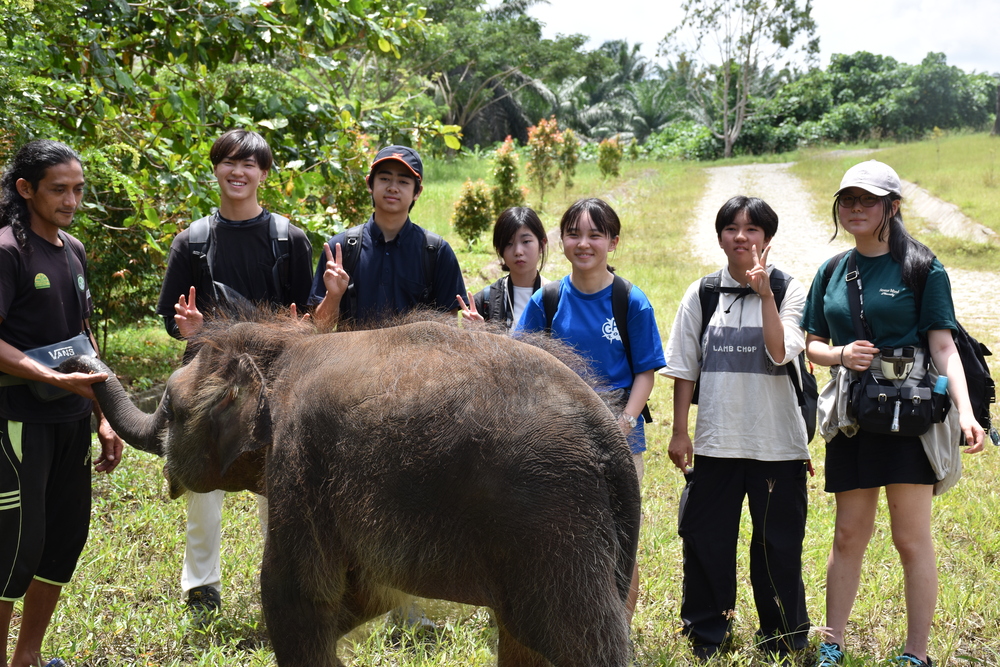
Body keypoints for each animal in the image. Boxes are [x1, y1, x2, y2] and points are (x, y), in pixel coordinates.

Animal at [64, 318, 640, 667]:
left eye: (171, 410)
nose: (75, 359)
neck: (279, 347)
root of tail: (606, 432)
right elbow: (362, 592)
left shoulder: (299, 462)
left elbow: (295, 594)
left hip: (553, 524)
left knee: (577, 640)